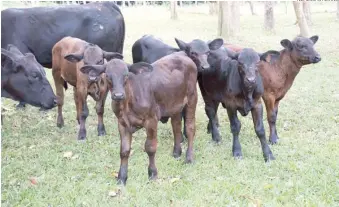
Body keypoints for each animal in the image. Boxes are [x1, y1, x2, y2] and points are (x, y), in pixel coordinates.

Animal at [80, 51, 199, 184]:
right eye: (108, 76)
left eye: (126, 74)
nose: (118, 95)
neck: (127, 102)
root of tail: (182, 54)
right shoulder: (122, 123)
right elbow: (124, 151)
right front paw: (122, 178)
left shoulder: (151, 120)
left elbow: (150, 148)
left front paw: (152, 173)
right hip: (175, 106)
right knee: (176, 126)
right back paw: (177, 153)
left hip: (192, 98)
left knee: (190, 128)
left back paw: (189, 158)